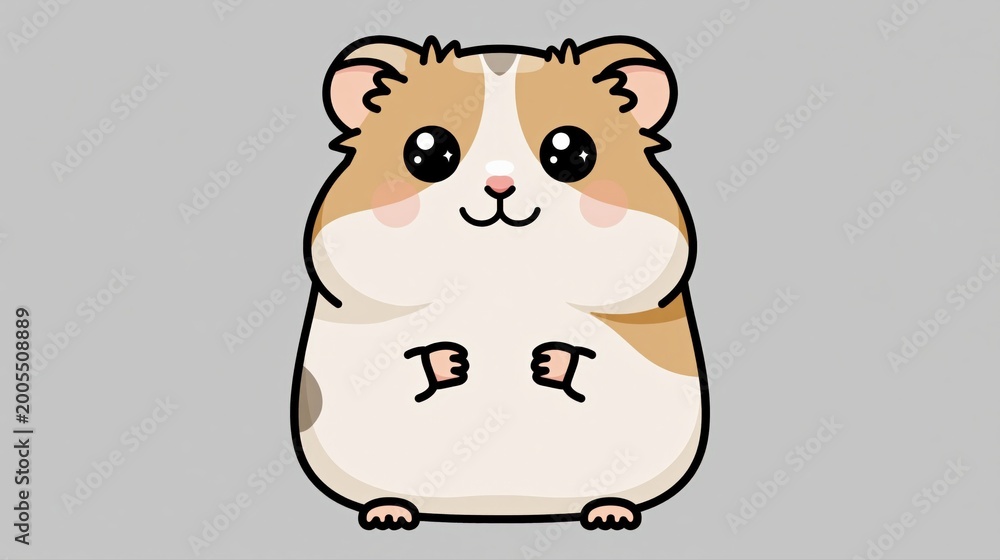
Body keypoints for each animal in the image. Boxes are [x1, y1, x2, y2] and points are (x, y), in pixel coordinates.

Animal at [291, 35, 708, 531]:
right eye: (426, 152)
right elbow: (416, 360)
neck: (500, 281)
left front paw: (547, 363)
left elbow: (580, 360)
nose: (500, 185)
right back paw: (388, 514)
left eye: (573, 151)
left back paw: (611, 514)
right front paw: (453, 364)